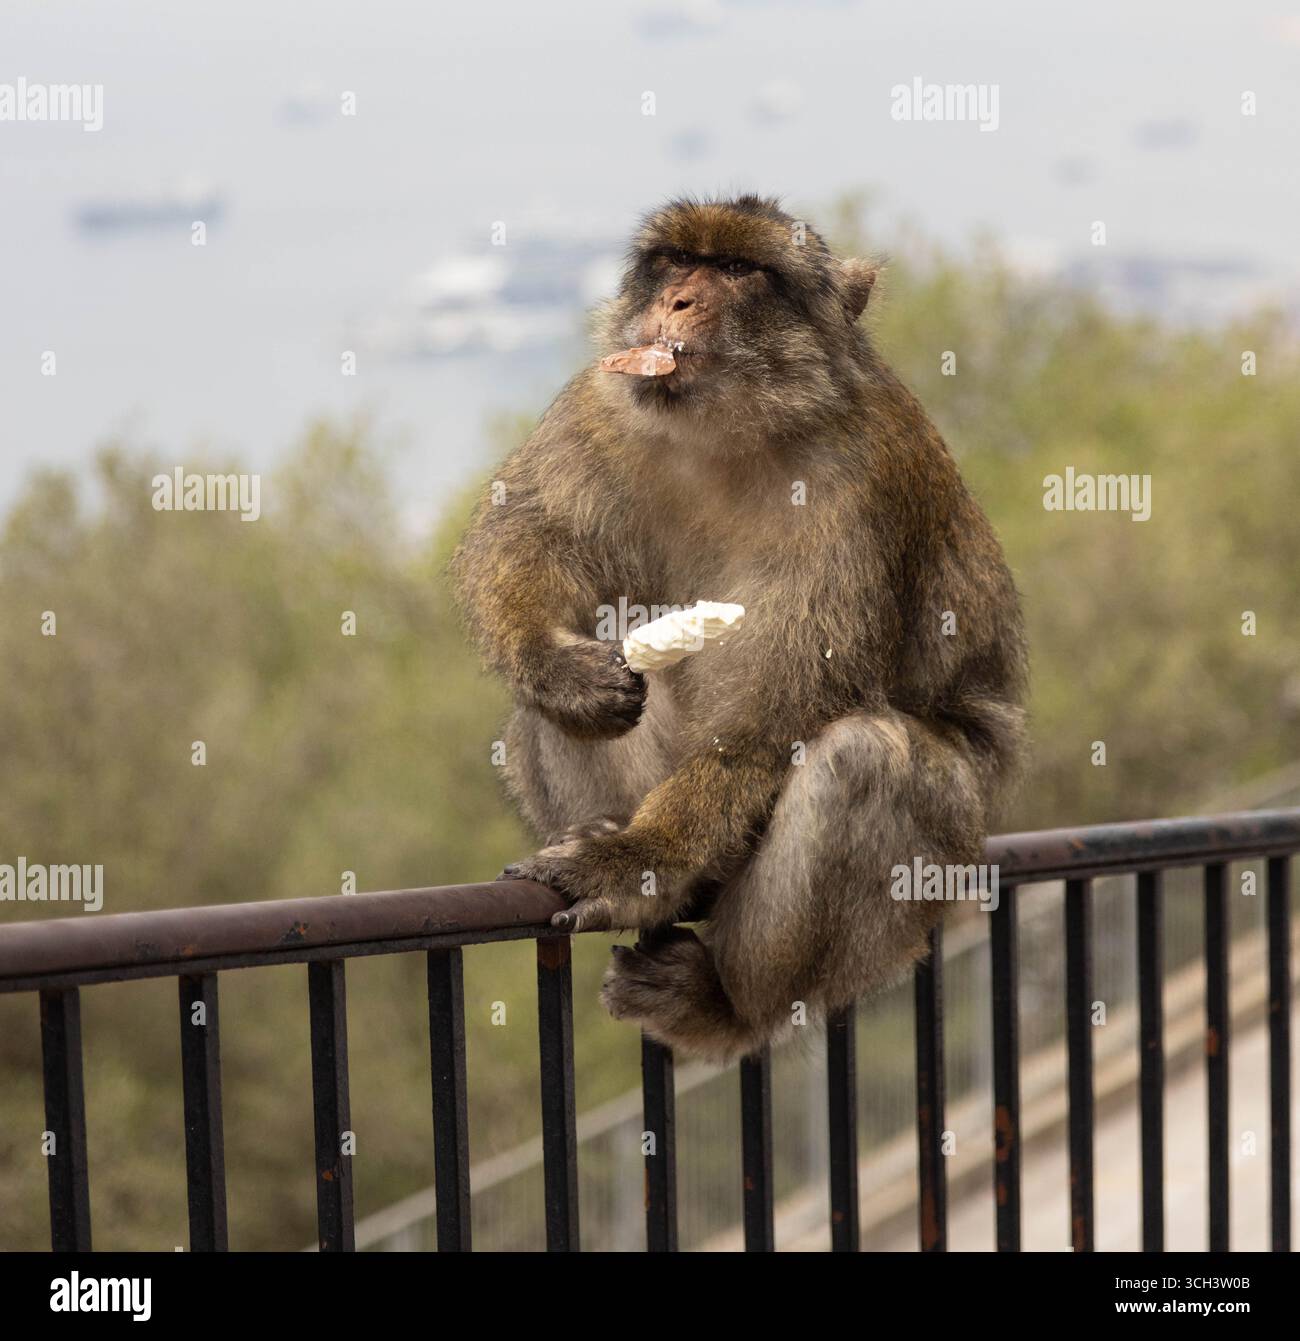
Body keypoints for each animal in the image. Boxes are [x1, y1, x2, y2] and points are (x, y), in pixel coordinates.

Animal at [451, 194, 1027, 1063]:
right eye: (676, 260)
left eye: (736, 269)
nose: (678, 300)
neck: (731, 427)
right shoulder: (597, 403)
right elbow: (528, 531)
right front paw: (558, 667)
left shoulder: (860, 485)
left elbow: (776, 710)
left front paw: (639, 864)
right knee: (556, 709)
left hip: (942, 865)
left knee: (867, 759)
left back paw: (727, 998)